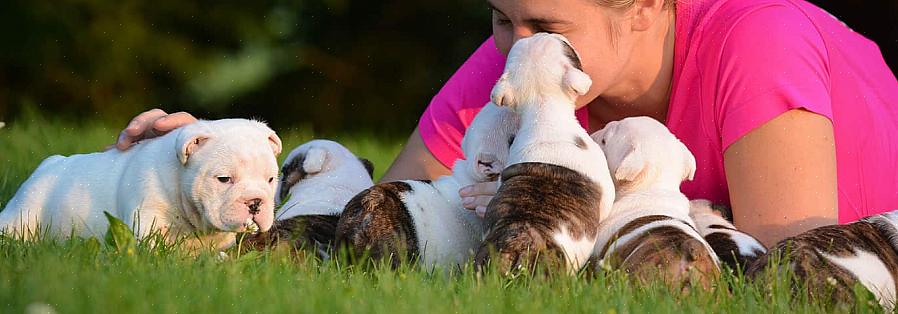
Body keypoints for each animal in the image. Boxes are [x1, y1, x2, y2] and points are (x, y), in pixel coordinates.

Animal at [0, 119, 280, 251]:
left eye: (270, 180)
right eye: (224, 179)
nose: (255, 202)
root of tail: (49, 164)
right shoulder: (146, 217)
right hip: (25, 212)